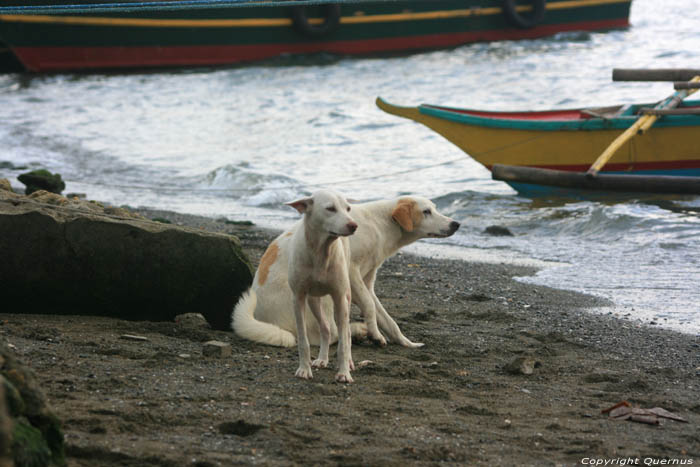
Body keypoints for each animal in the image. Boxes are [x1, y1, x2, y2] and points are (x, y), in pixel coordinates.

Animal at [234, 195, 460, 352]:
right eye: (426, 211)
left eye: (435, 209)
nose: (456, 224)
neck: (381, 224)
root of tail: (270, 323)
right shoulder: (351, 273)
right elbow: (369, 307)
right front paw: (376, 335)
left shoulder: (366, 282)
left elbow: (386, 318)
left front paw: (405, 342)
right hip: (324, 293)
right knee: (329, 333)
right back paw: (357, 331)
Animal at [282, 190, 356, 384]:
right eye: (330, 208)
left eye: (348, 208)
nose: (354, 225)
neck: (321, 252)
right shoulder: (298, 297)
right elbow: (303, 340)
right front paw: (304, 369)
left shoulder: (339, 296)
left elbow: (343, 342)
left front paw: (344, 373)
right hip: (313, 300)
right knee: (326, 328)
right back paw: (322, 359)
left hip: (345, 298)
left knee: (346, 332)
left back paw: (349, 362)